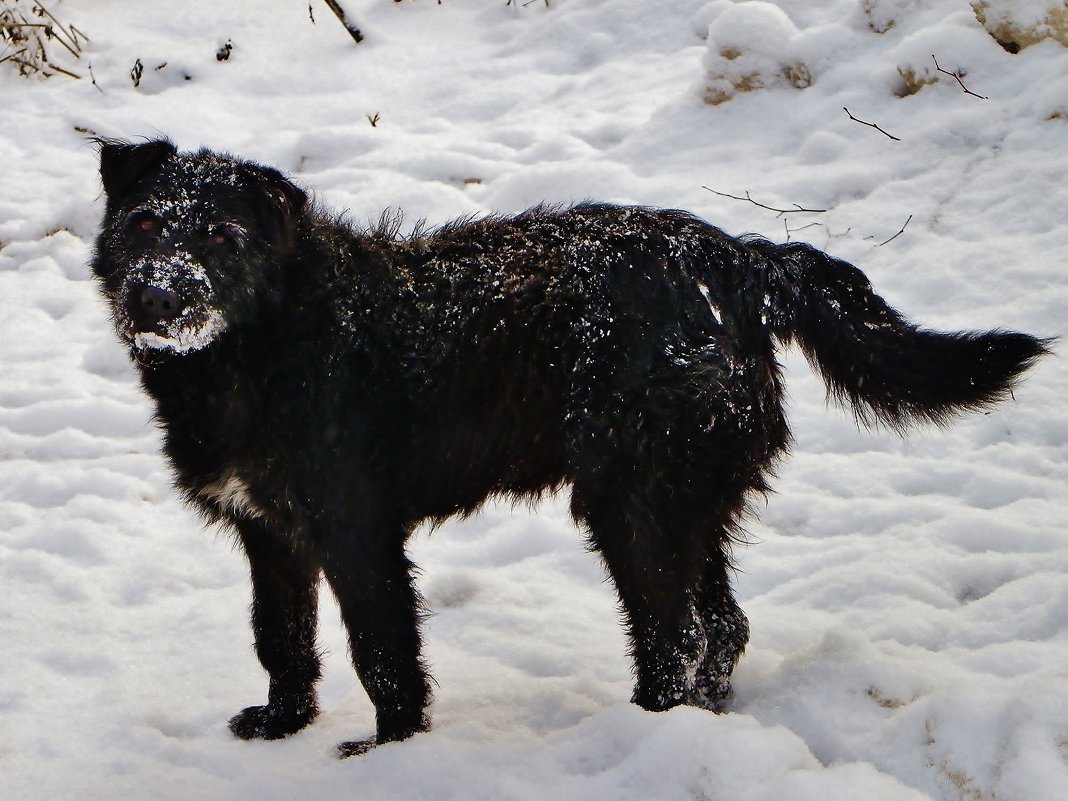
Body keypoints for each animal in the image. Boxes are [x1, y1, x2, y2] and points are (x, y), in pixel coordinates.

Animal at [89, 139, 1042, 760]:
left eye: (221, 236)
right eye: (144, 223)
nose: (157, 297)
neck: (265, 338)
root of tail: (740, 261)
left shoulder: (358, 535)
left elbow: (384, 653)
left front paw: (392, 754)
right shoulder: (271, 535)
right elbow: (279, 636)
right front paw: (283, 724)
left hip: (634, 502)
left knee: (676, 634)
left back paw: (642, 728)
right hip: (685, 497)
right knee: (721, 627)